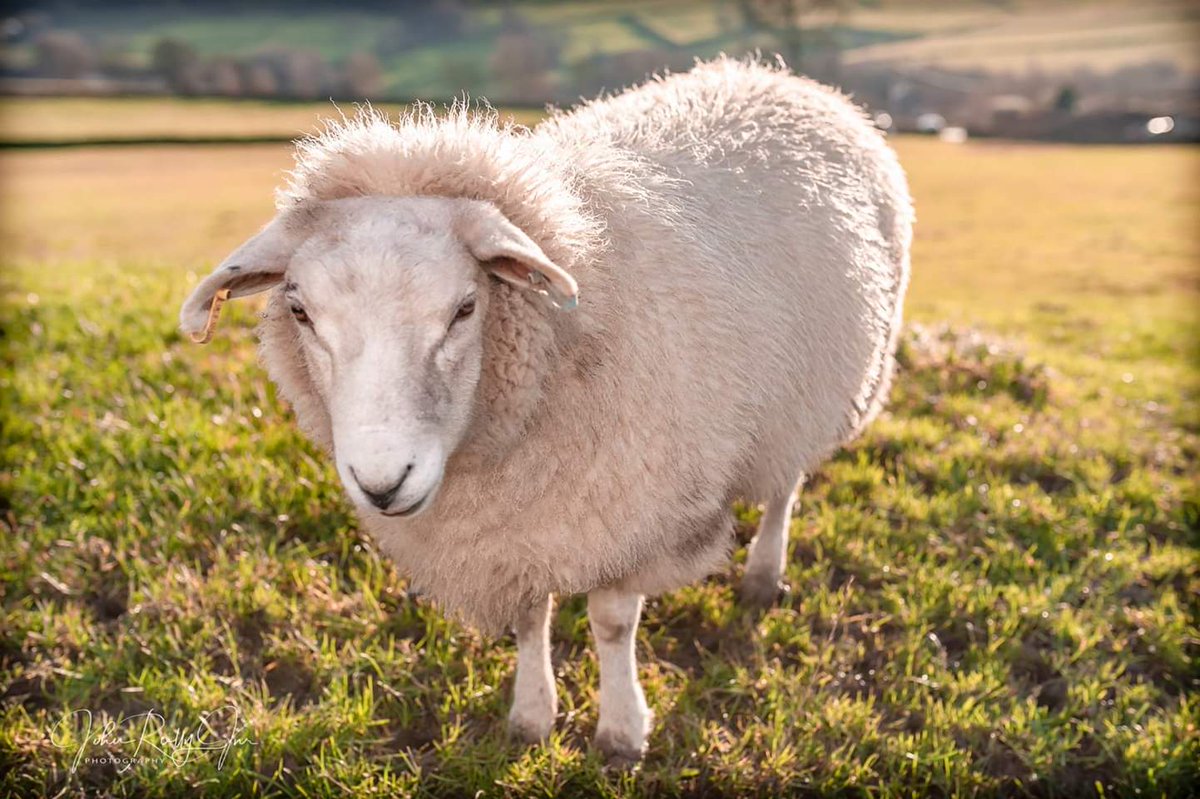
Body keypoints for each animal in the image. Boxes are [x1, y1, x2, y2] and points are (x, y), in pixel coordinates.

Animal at [179, 56, 912, 762]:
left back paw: (763, 574)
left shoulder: (629, 511)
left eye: (465, 306)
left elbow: (612, 623)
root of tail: (771, 74)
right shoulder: (518, 530)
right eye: (299, 310)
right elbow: (531, 618)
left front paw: (622, 731)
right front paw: (532, 716)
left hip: (821, 387)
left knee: (786, 484)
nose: (383, 483)